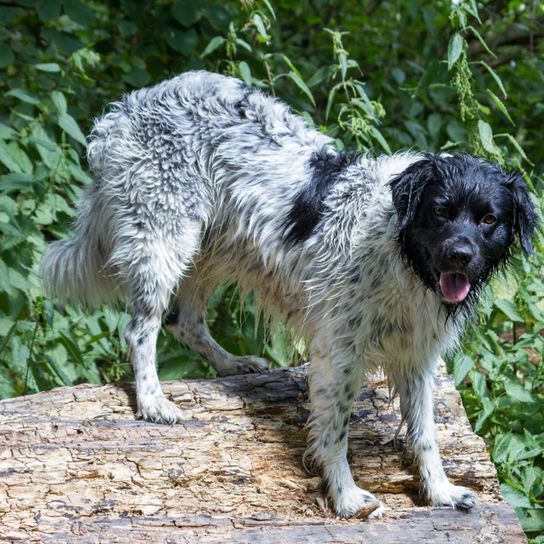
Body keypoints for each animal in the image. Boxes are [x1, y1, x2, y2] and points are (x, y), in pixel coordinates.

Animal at [41, 71, 536, 520]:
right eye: (440, 212)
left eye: (488, 219)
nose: (460, 256)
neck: (401, 255)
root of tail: (127, 108)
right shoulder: (339, 352)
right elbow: (335, 430)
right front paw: (345, 496)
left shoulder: (416, 353)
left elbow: (425, 432)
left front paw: (439, 491)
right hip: (165, 241)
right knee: (141, 329)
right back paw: (151, 401)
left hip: (214, 248)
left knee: (184, 321)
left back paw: (231, 365)